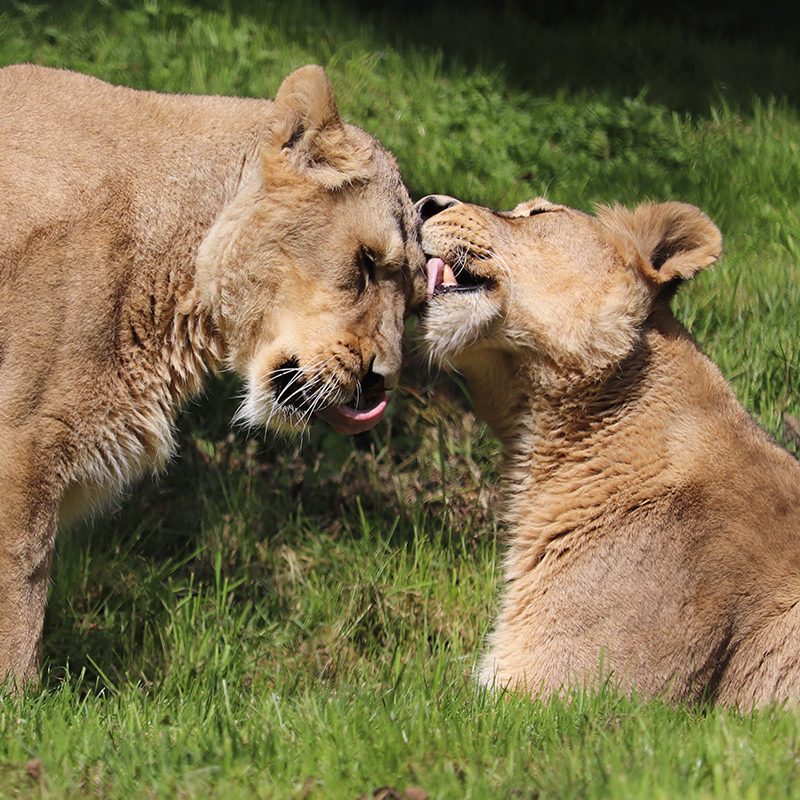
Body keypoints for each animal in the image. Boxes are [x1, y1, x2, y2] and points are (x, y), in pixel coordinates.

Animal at [0, 64, 428, 688]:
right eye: (367, 263)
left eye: (417, 302)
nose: (383, 381)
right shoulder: (22, 448)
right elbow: (20, 597)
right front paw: (19, 700)